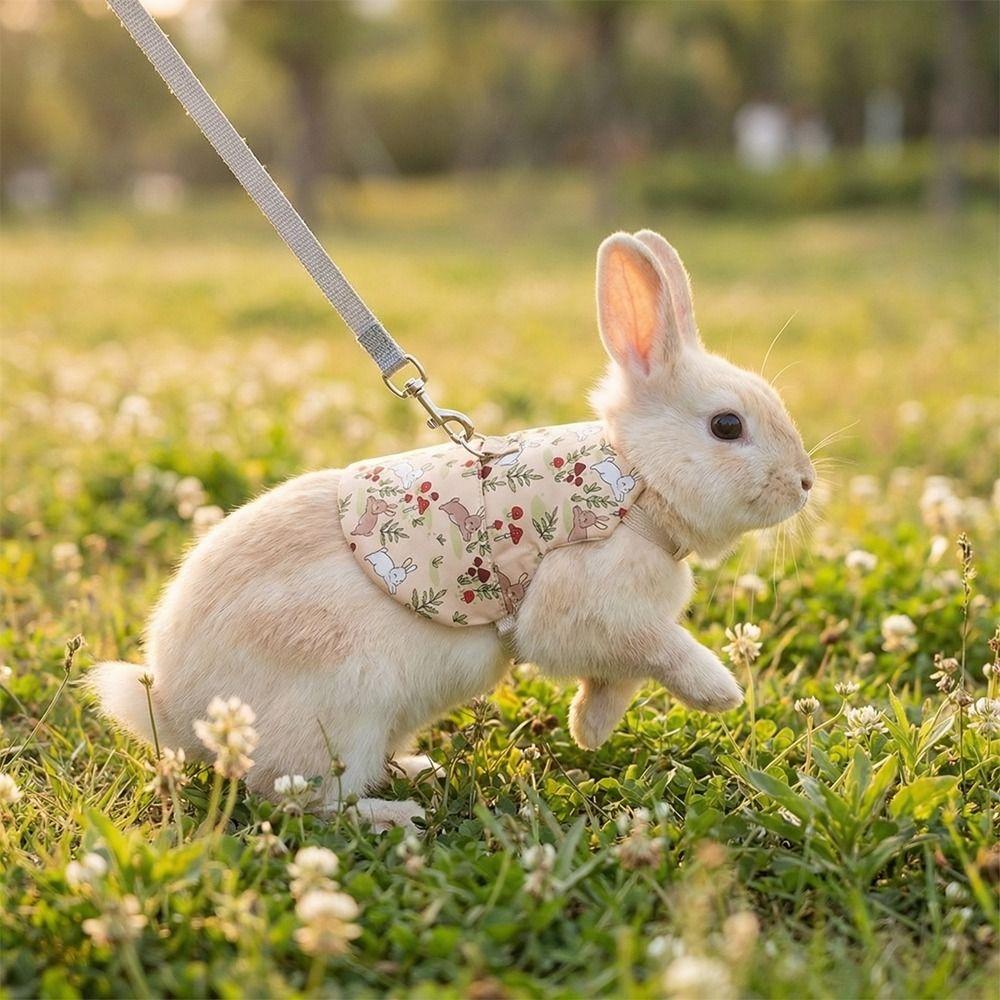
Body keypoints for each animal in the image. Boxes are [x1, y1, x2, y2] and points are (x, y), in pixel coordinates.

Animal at [90, 229, 814, 831]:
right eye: (727, 426)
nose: (805, 483)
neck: (637, 479)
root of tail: (180, 713)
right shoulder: (588, 609)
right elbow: (659, 652)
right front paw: (719, 691)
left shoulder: (611, 636)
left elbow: (616, 681)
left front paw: (588, 730)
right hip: (336, 722)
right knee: (302, 799)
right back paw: (395, 813)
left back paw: (418, 770)